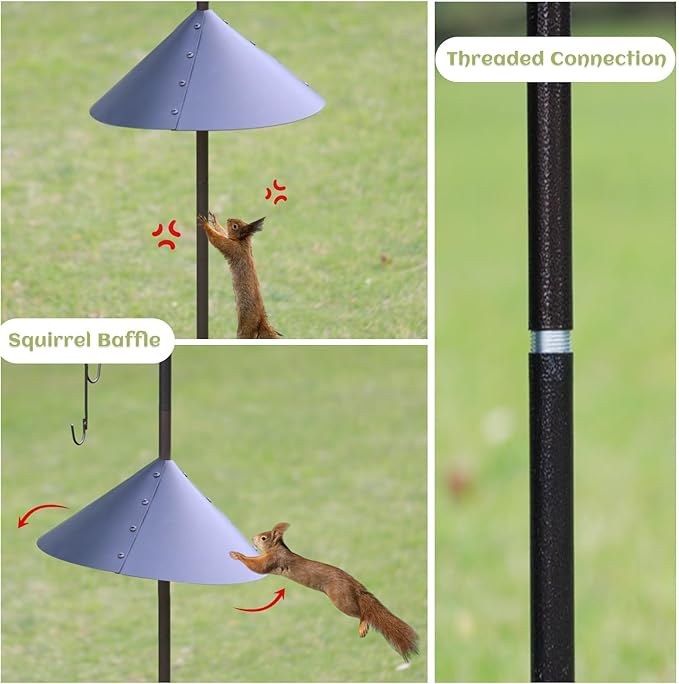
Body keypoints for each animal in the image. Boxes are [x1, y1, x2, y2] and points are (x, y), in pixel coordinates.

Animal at [229, 522, 418, 661]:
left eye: (263, 537)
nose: (252, 538)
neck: (278, 549)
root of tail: (354, 585)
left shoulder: (273, 560)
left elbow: (257, 566)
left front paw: (236, 554)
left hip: (341, 599)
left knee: (361, 613)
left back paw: (363, 625)